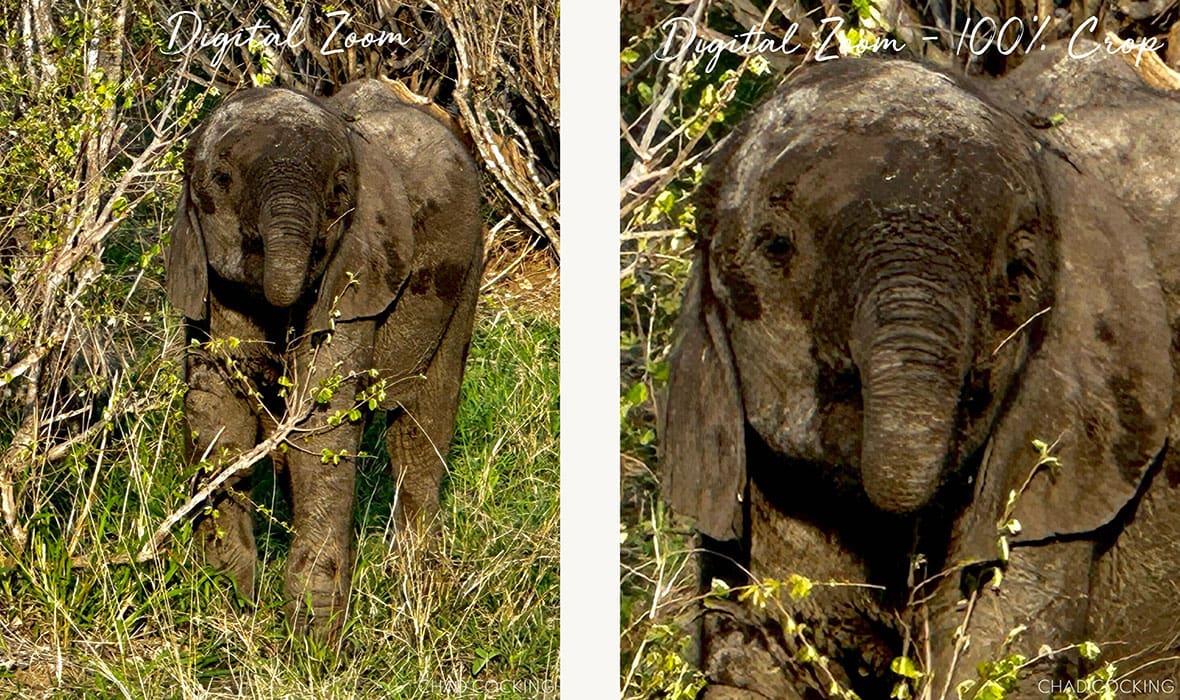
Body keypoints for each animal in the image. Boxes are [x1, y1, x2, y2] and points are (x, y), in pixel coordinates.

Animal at [165, 79, 483, 637]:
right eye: (222, 180)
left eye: (339, 190)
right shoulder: (207, 284)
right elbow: (217, 415)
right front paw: (230, 606)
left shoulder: (355, 276)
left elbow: (320, 429)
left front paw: (312, 641)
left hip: (466, 271)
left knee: (423, 424)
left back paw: (414, 580)